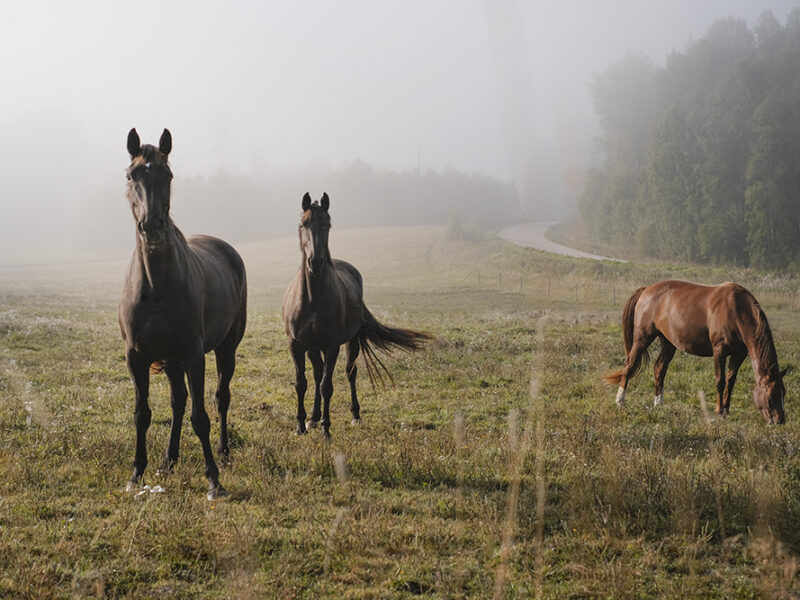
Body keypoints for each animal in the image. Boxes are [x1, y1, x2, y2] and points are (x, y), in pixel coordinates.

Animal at [119, 129, 247, 500]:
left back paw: (223, 453)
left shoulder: (193, 354)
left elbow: (200, 416)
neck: (157, 286)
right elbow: (143, 413)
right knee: (178, 403)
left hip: (225, 349)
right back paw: (169, 460)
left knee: (221, 398)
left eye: (169, 176)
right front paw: (136, 473)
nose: (152, 227)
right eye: (131, 175)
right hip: (173, 360)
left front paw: (214, 480)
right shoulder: (137, 356)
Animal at [282, 195, 432, 438]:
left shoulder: (332, 345)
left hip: (350, 342)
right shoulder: (296, 344)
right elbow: (301, 383)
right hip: (313, 347)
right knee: (317, 373)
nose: (315, 262)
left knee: (349, 373)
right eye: (303, 225)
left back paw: (354, 415)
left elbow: (327, 386)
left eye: (327, 225)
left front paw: (326, 429)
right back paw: (313, 418)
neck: (312, 298)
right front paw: (301, 426)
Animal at [608, 280, 788, 424]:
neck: (736, 310)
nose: (780, 421)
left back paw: (658, 402)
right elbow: (720, 381)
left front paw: (726, 410)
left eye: (783, 394)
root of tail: (646, 289)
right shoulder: (719, 350)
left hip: (668, 342)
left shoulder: (739, 354)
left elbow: (731, 382)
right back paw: (620, 401)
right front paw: (719, 410)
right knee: (629, 365)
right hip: (643, 337)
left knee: (659, 368)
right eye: (771, 396)